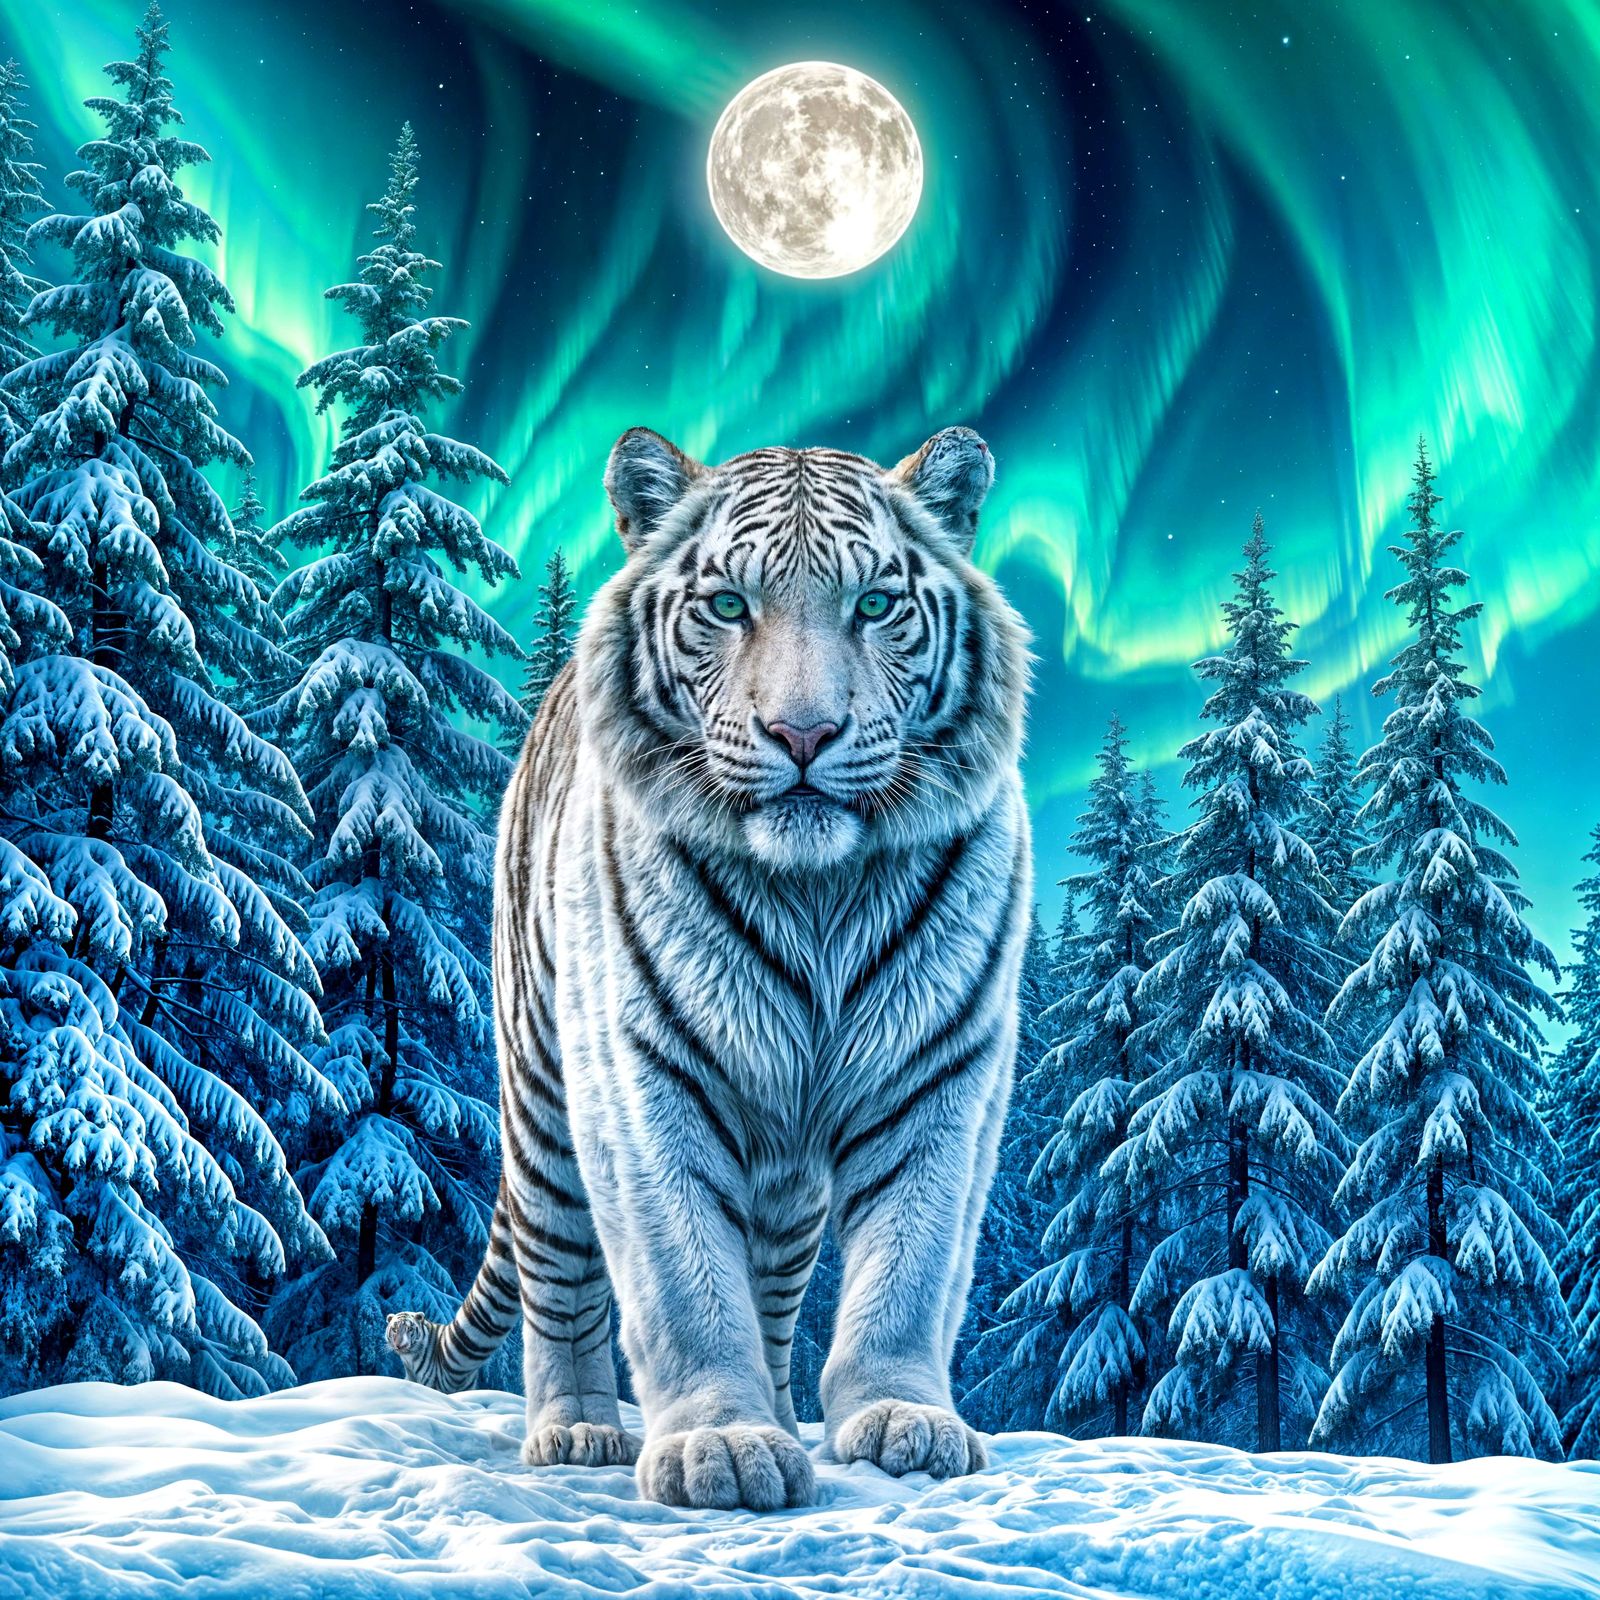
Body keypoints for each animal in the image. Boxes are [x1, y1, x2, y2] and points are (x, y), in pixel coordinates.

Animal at [386, 424, 1032, 1512]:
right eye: (729, 605)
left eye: (875, 605)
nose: (804, 734)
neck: (816, 894)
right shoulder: (641, 1075)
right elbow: (685, 1278)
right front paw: (719, 1446)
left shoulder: (942, 1072)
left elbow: (910, 1263)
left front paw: (903, 1421)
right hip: (544, 1096)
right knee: (561, 1279)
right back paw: (575, 1430)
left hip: (785, 1189)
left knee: (772, 1291)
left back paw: (777, 1408)